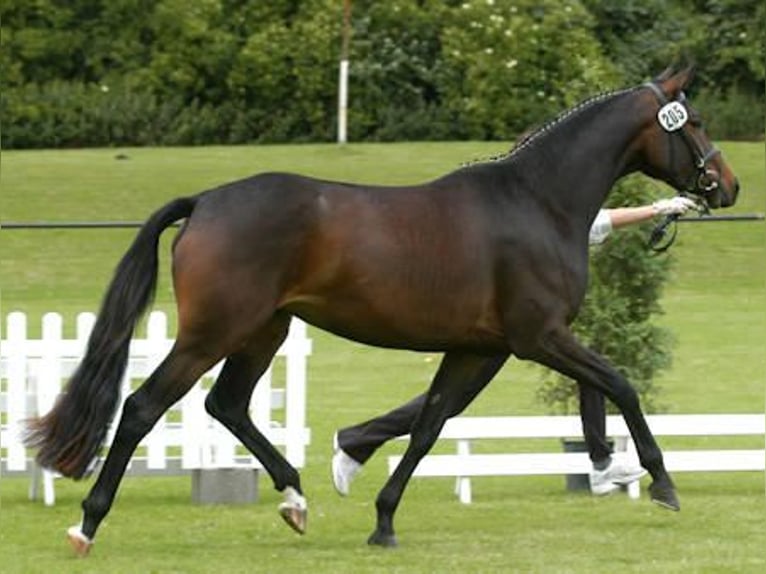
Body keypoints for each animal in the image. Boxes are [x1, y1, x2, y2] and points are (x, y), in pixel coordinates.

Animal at [27, 65, 740, 556]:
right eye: (695, 120)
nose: (726, 186)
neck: (536, 200)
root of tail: (204, 201)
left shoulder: (482, 347)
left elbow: (428, 425)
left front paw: (383, 520)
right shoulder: (536, 336)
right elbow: (619, 383)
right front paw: (659, 481)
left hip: (263, 331)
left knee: (225, 404)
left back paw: (295, 498)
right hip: (213, 332)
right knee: (143, 408)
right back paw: (88, 523)